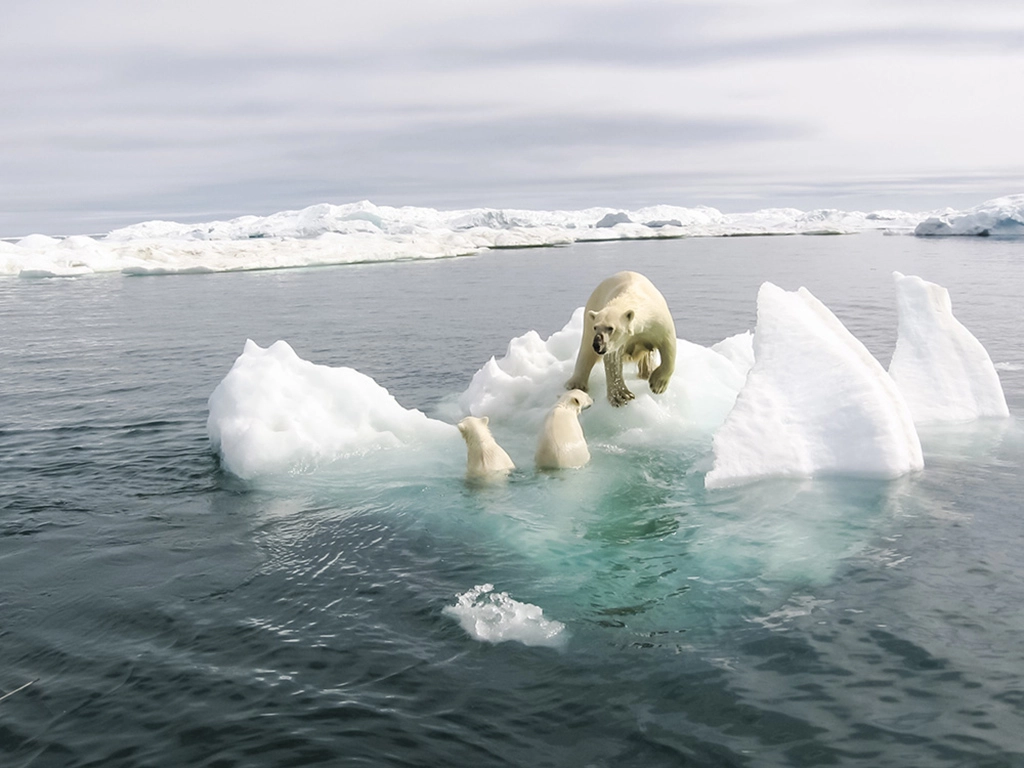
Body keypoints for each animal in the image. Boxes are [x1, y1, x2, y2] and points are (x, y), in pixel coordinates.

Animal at [565, 271, 677, 407]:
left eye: (610, 328)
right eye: (595, 327)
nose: (597, 345)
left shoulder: (657, 320)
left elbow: (668, 345)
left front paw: (657, 385)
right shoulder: (615, 343)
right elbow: (613, 361)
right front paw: (622, 395)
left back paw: (647, 372)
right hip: (590, 313)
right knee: (586, 350)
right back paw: (576, 384)